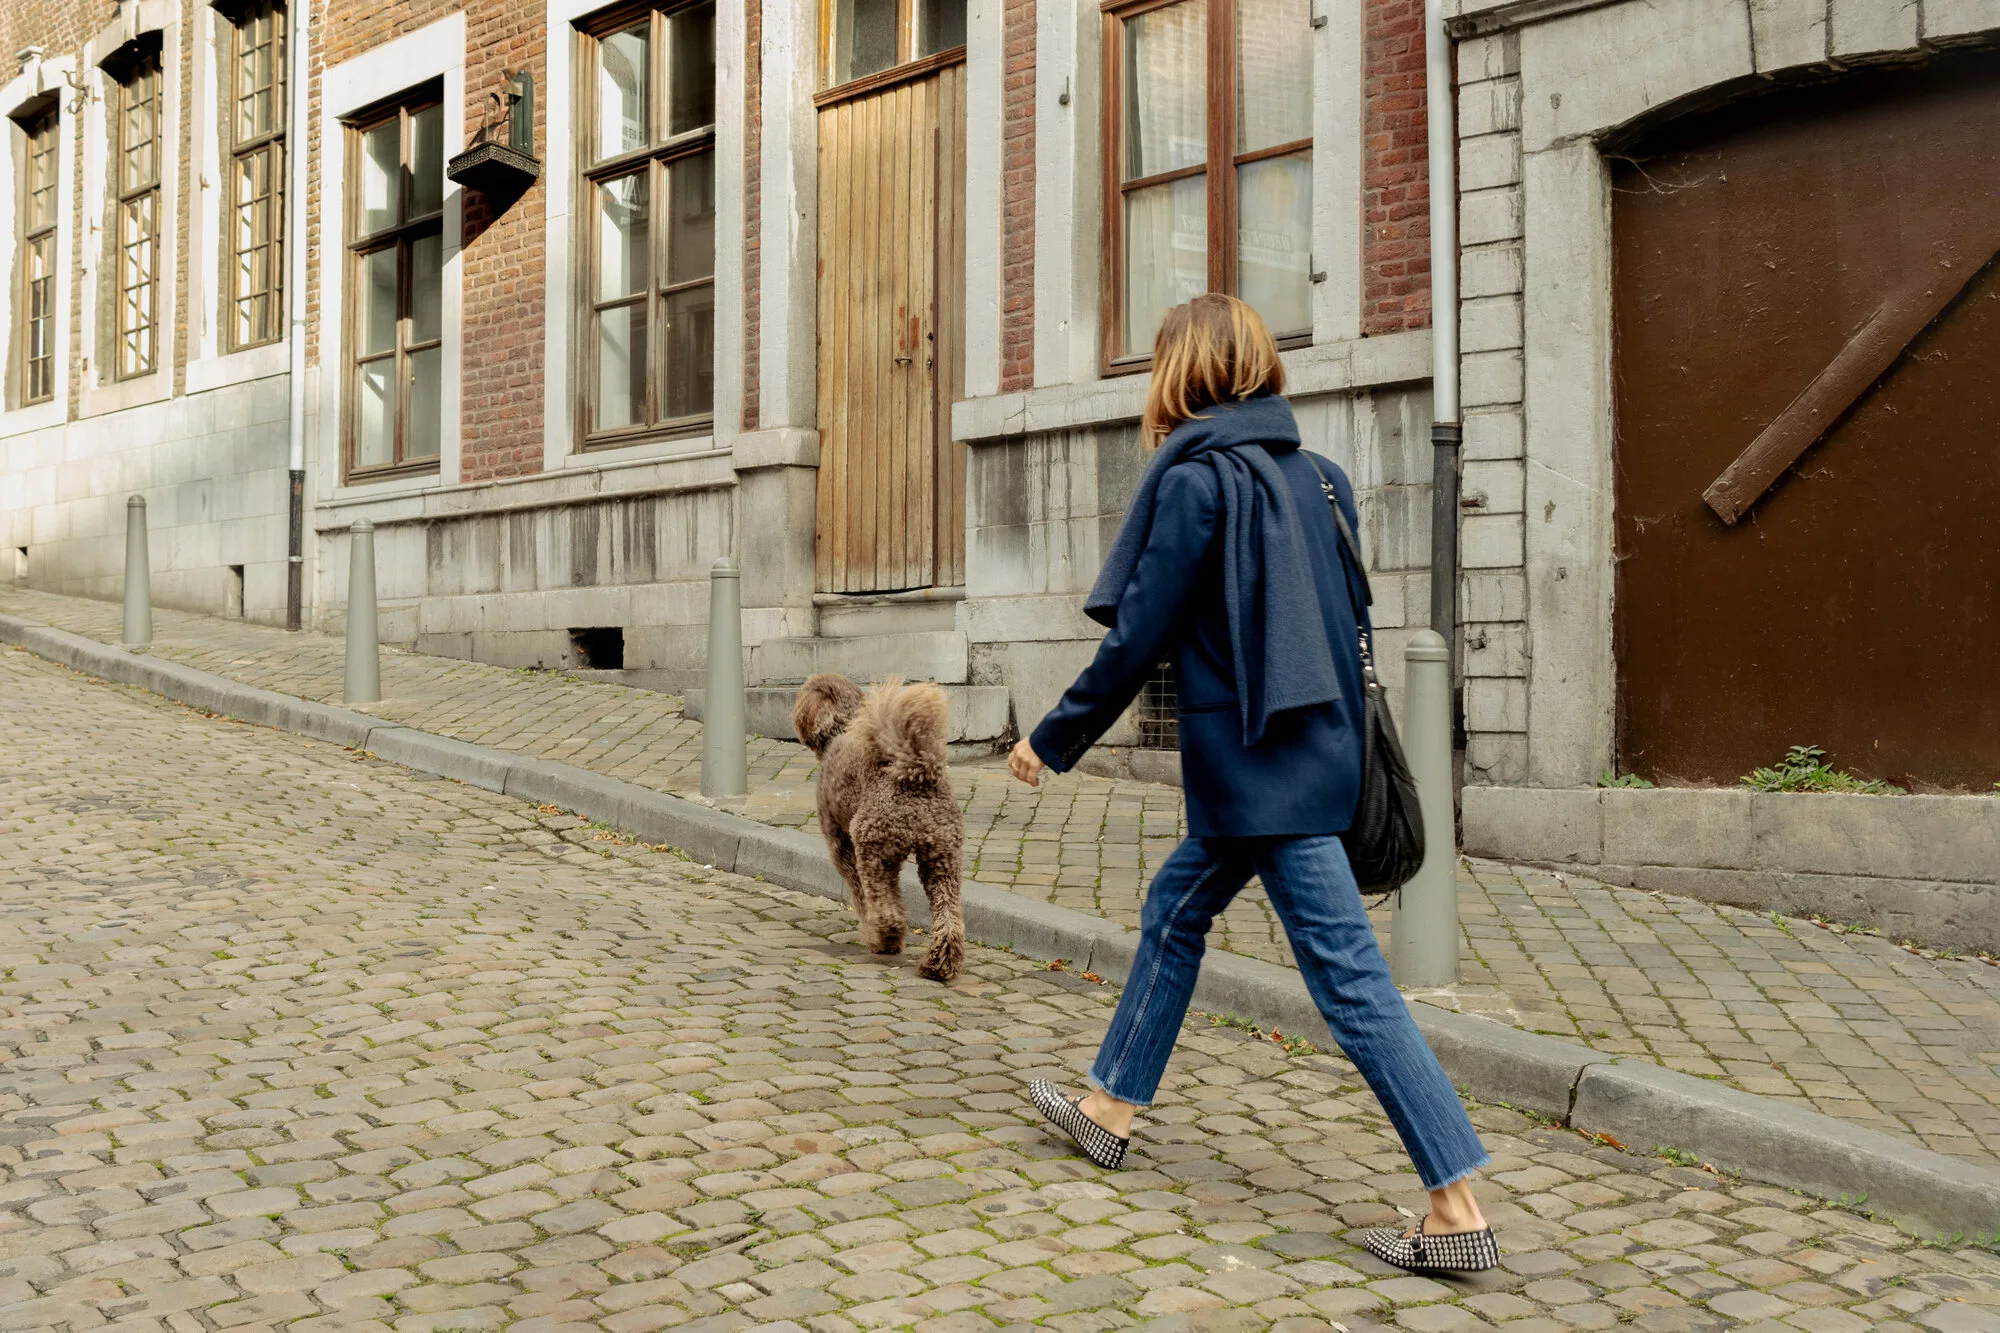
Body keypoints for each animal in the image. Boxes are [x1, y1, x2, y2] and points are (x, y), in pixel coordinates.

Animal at [792, 676, 964, 976]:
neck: (843, 726)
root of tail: (916, 775)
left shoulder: (840, 844)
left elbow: (858, 893)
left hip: (873, 848)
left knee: (886, 908)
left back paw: (884, 939)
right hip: (942, 857)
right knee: (948, 915)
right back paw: (938, 963)